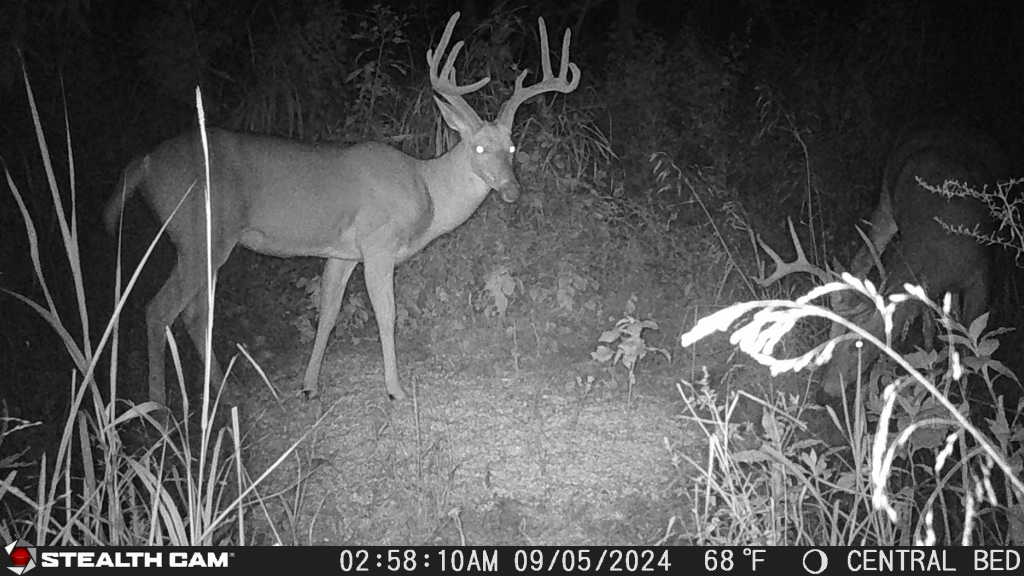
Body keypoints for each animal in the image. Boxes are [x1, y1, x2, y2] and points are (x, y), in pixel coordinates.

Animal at [103, 13, 580, 406]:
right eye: (478, 147)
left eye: (511, 147)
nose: (512, 190)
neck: (425, 188)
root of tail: (144, 163)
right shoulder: (378, 245)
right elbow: (386, 316)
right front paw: (395, 389)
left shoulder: (341, 253)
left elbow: (327, 315)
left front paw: (309, 386)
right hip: (198, 232)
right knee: (159, 310)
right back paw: (159, 409)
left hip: (203, 241)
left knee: (193, 313)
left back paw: (221, 391)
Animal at [758, 117, 1007, 400]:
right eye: (832, 335)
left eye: (859, 344)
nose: (824, 393)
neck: (941, 256)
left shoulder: (981, 275)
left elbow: (971, 347)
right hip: (886, 200)